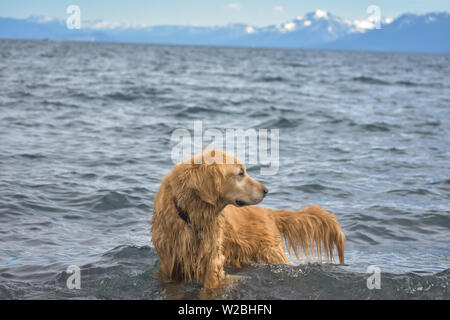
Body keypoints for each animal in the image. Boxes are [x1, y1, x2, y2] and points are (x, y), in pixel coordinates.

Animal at [151, 150, 344, 290]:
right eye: (240, 173)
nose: (266, 190)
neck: (191, 216)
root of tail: (268, 213)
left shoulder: (213, 261)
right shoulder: (169, 263)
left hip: (273, 254)